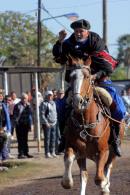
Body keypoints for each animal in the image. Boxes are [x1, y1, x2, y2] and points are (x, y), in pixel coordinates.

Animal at [61, 57, 124, 195]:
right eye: (71, 76)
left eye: (87, 76)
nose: (77, 101)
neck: (86, 123)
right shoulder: (75, 148)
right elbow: (69, 160)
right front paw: (67, 182)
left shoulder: (103, 151)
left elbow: (99, 178)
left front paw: (105, 186)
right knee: (85, 175)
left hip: (112, 150)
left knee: (108, 166)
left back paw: (106, 185)